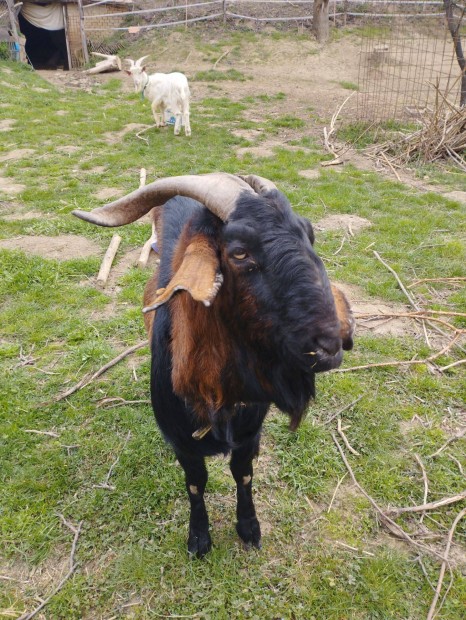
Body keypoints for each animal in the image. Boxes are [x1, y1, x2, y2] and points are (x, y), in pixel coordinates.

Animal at [72, 173, 354, 557]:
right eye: (239, 252)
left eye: (308, 234)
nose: (331, 345)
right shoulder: (183, 443)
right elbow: (196, 484)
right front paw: (199, 538)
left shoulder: (249, 434)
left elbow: (243, 474)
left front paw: (249, 528)